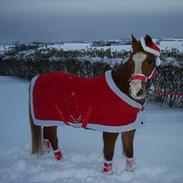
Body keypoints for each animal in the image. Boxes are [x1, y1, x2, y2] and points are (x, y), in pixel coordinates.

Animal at [28, 33, 160, 172]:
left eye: (150, 61)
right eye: (131, 61)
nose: (136, 91)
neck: (121, 88)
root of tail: (37, 78)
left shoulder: (129, 129)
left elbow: (129, 153)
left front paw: (130, 171)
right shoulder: (110, 131)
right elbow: (108, 155)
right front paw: (107, 174)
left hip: (49, 121)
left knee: (47, 137)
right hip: (50, 120)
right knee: (53, 138)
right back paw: (60, 160)